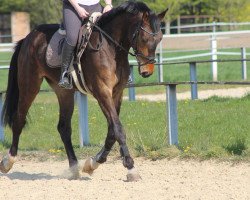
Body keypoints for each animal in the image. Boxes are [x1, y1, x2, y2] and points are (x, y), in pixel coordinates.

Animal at [0, 0, 168, 180]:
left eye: (160, 38)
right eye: (144, 38)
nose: (147, 72)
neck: (110, 47)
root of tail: (28, 38)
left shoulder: (116, 93)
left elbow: (111, 132)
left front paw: (93, 163)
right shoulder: (102, 92)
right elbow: (118, 129)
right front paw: (131, 168)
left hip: (64, 92)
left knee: (64, 127)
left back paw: (74, 168)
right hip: (30, 85)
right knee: (19, 120)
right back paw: (8, 161)